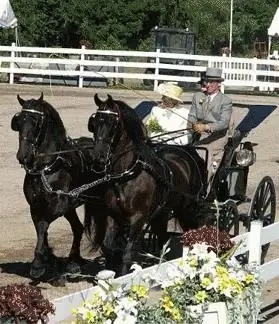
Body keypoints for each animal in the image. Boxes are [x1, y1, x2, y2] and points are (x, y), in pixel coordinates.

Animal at [10, 93, 105, 278]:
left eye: (36, 122)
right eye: (18, 121)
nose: (22, 156)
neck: (47, 167)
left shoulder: (58, 205)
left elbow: (43, 225)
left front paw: (38, 263)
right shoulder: (35, 206)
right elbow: (41, 229)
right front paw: (46, 258)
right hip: (72, 207)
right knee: (78, 228)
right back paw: (73, 262)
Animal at [85, 93, 206, 274]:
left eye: (112, 123)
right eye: (94, 123)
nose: (97, 156)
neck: (127, 174)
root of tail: (188, 155)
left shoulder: (138, 218)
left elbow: (128, 254)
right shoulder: (114, 214)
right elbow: (108, 247)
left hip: (187, 208)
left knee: (193, 231)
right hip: (162, 213)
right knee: (163, 239)